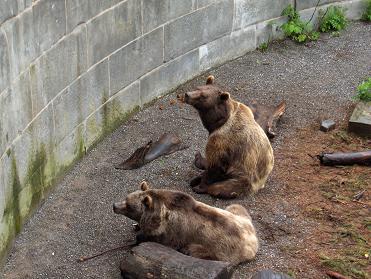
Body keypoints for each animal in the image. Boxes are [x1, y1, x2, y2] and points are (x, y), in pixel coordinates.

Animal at [113, 183, 258, 266]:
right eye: (126, 198)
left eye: (129, 206)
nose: (114, 205)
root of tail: (254, 240)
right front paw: (136, 226)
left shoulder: (173, 232)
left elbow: (160, 240)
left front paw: (140, 237)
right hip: (238, 214)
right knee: (236, 206)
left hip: (224, 250)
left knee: (196, 251)